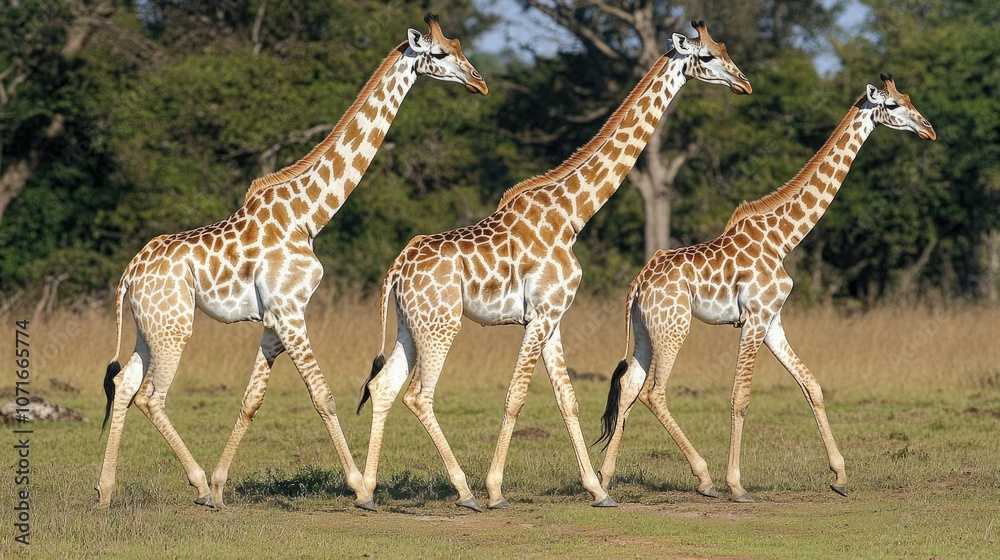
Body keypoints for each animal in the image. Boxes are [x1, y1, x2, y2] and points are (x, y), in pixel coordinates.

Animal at [95, 13, 488, 511]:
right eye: (438, 54)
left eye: (459, 47)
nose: (479, 82)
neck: (308, 216)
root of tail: (129, 273)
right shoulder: (291, 311)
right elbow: (323, 396)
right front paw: (361, 488)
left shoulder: (274, 319)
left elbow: (252, 400)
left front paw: (221, 486)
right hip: (173, 325)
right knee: (150, 395)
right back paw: (195, 484)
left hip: (150, 324)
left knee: (126, 384)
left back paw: (107, 490)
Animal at [355, 20, 752, 512]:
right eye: (709, 58)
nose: (744, 83)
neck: (572, 214)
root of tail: (396, 270)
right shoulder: (542, 314)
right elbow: (516, 396)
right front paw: (496, 491)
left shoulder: (552, 316)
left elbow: (568, 399)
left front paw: (598, 490)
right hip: (441, 324)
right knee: (418, 395)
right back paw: (465, 492)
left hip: (412, 324)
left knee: (385, 386)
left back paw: (368, 493)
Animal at [595, 74, 936, 503]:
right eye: (892, 106)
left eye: (906, 98)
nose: (929, 129)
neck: (784, 238)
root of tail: (638, 283)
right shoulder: (755, 318)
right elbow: (740, 397)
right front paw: (737, 484)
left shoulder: (773, 321)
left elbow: (812, 385)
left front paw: (840, 477)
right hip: (674, 327)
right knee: (653, 392)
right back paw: (704, 479)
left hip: (645, 329)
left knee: (628, 387)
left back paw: (605, 481)